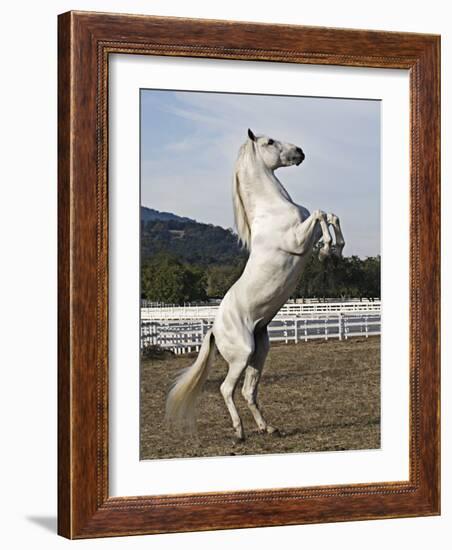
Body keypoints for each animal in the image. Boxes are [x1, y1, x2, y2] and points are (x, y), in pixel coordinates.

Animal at [166, 130, 346, 444]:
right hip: (241, 355)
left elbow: (331, 215)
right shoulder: (298, 239)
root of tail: (214, 329)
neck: (271, 209)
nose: (300, 152)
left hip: (259, 353)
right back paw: (239, 432)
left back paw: (268, 428)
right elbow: (321, 214)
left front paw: (334, 250)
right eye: (269, 142)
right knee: (226, 388)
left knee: (249, 390)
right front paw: (327, 250)